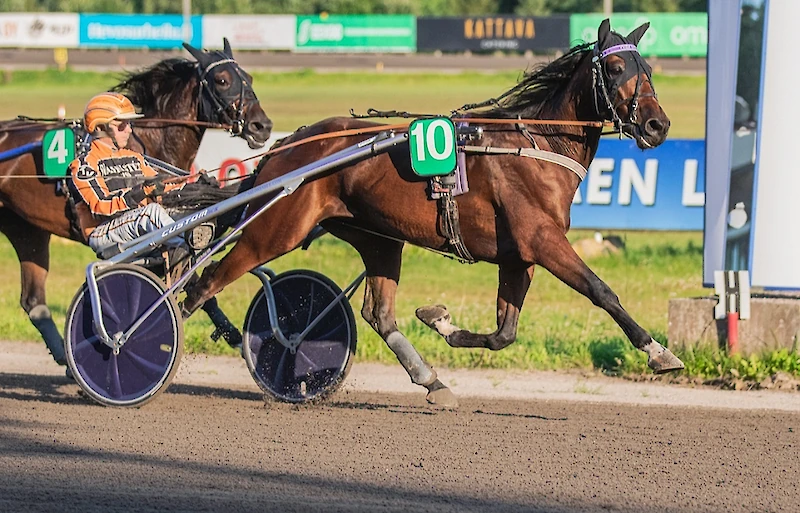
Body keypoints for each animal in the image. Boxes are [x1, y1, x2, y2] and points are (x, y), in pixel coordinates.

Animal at [0, 39, 272, 364]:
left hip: (26, 229)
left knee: (34, 301)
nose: (262, 126)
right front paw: (233, 334)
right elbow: (184, 275)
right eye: (221, 80)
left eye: (249, 78)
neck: (147, 143)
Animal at [184, 20, 684, 406]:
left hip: (378, 239)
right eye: (616, 68)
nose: (658, 125)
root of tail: (287, 144)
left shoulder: (518, 256)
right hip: (274, 230)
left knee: (378, 315)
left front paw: (439, 320)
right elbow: (602, 291)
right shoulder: (542, 241)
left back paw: (432, 381)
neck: (538, 146)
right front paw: (658, 352)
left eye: (648, 69)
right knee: (202, 284)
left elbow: (504, 332)